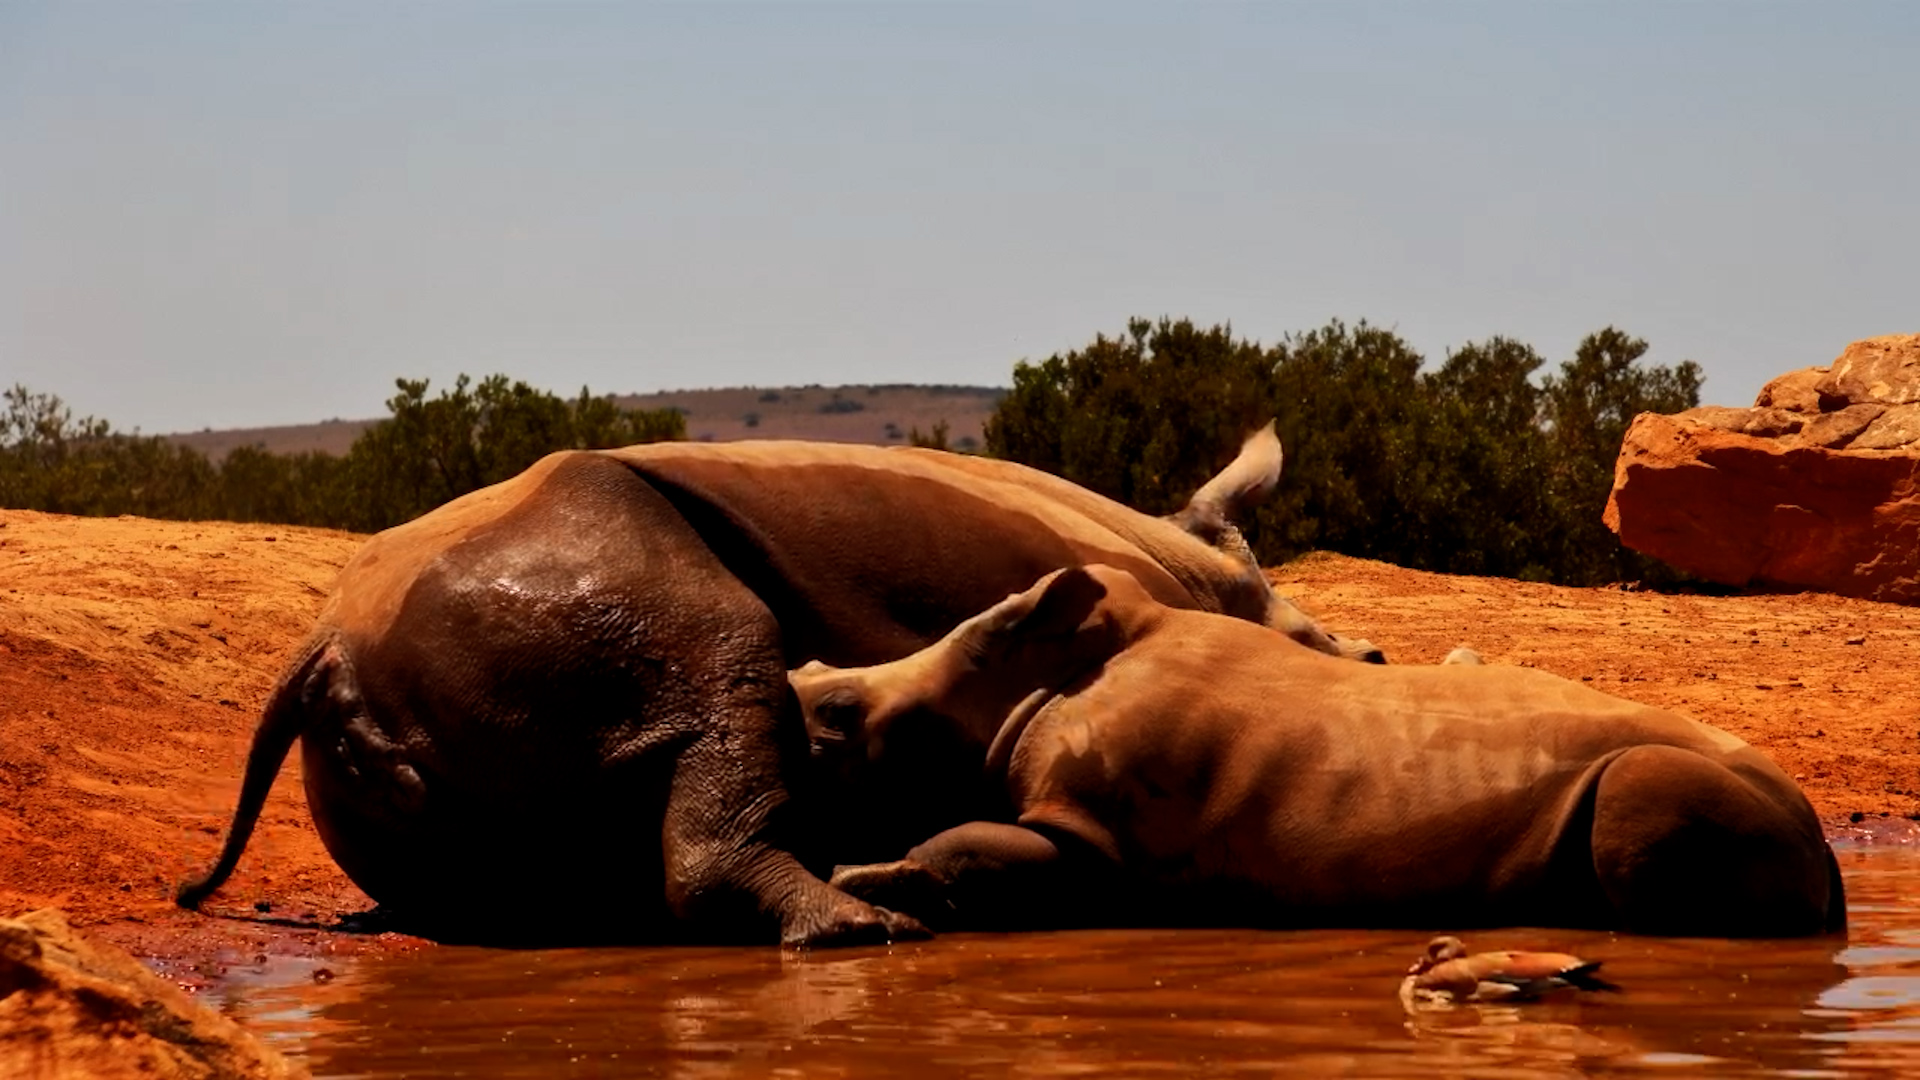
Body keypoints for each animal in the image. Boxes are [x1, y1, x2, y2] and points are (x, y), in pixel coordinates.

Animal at [793, 564, 1845, 938]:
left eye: (839, 715)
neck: (1023, 685)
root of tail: (1828, 851)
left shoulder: (1095, 838)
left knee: (1642, 796)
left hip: (1677, 783)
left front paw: (858, 876)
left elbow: (970, 846)